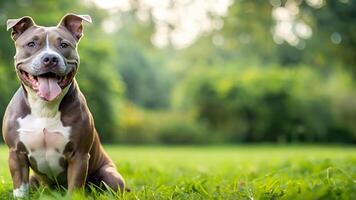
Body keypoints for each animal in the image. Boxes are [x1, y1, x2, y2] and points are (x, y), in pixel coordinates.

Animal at [1, 13, 126, 198]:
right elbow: (20, 187)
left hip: (110, 176)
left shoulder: (79, 155)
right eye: (31, 44)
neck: (44, 107)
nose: (50, 58)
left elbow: (75, 186)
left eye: (64, 45)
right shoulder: (16, 154)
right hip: (34, 181)